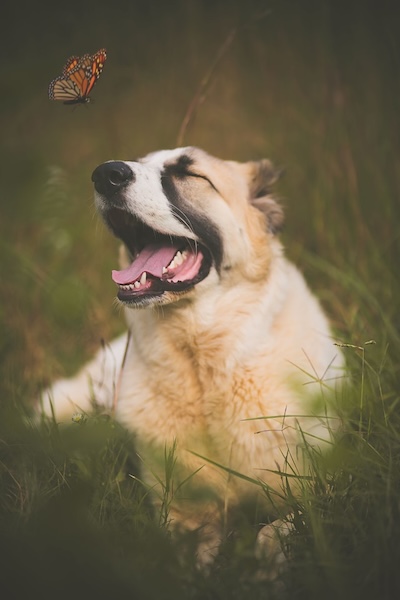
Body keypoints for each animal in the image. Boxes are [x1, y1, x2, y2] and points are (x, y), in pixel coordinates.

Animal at [41, 148, 346, 564]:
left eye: (190, 173)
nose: (106, 175)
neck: (201, 362)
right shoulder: (183, 514)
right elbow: (187, 557)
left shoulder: (317, 490)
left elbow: (272, 532)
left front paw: (263, 568)